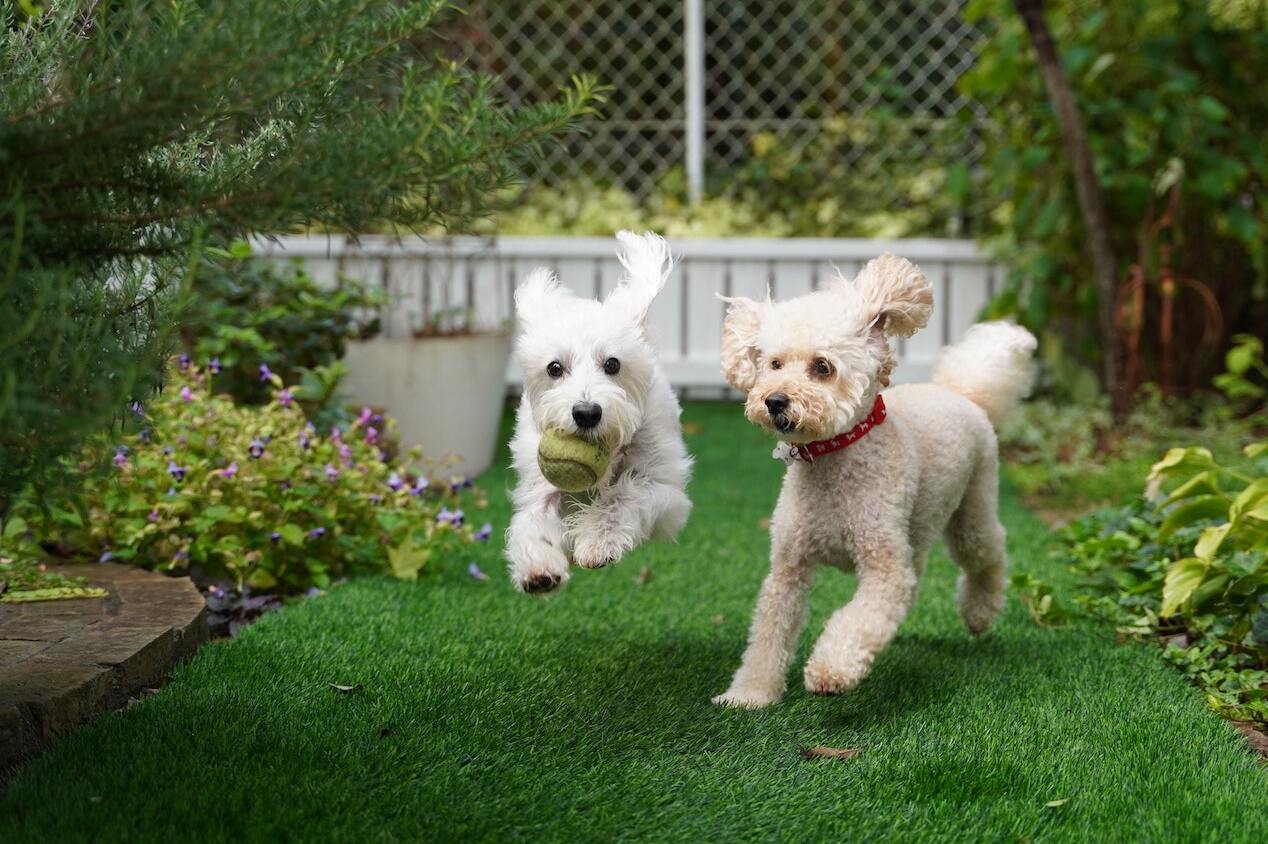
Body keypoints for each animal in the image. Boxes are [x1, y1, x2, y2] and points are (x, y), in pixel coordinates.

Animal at [504, 230, 694, 590]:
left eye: (612, 364)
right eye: (554, 368)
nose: (586, 413)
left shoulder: (666, 491)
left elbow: (625, 495)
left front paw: (597, 542)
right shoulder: (539, 485)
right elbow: (534, 520)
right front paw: (539, 567)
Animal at [710, 254, 1034, 704]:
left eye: (822, 367)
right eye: (773, 364)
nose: (774, 401)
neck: (833, 461)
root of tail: (962, 393)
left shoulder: (883, 566)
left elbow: (858, 619)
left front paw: (831, 669)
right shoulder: (789, 566)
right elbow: (769, 633)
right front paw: (749, 694)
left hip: (973, 509)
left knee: (989, 552)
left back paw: (980, 612)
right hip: (915, 529)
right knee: (918, 577)